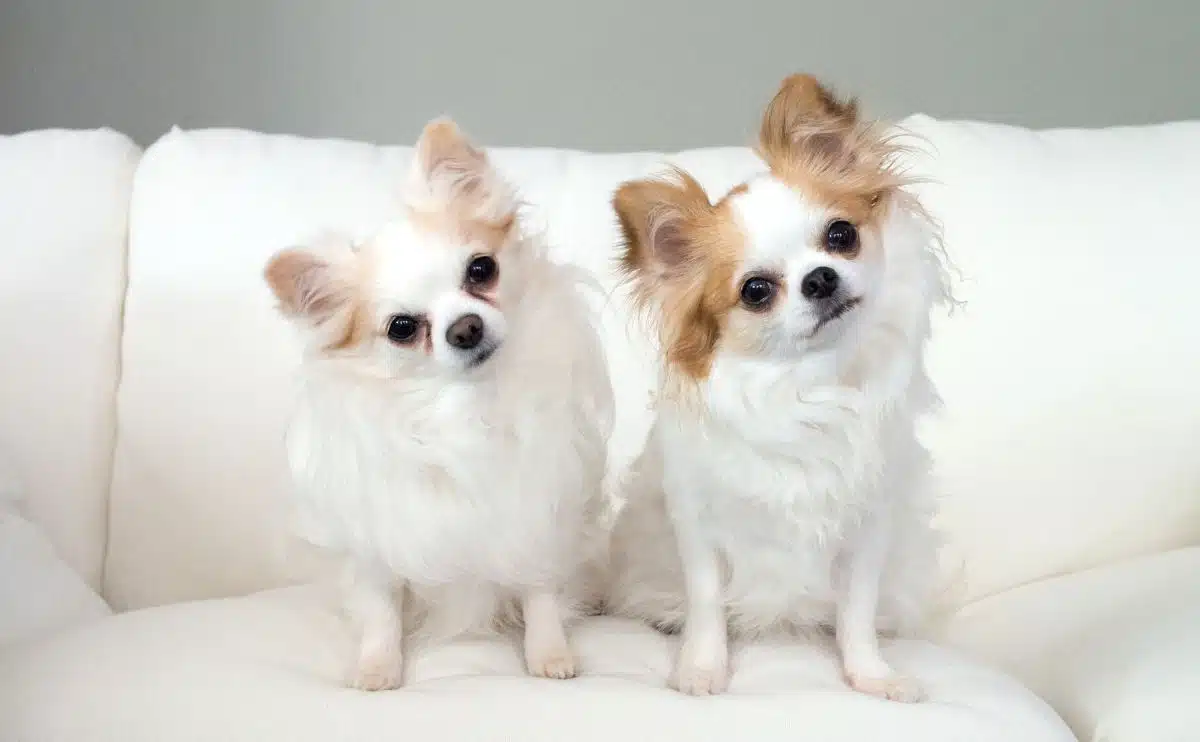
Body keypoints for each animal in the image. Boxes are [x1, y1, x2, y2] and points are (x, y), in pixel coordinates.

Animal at [266, 117, 614, 686]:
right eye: (402, 328)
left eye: (481, 269)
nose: (466, 327)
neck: (468, 406)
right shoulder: (379, 538)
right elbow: (381, 606)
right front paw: (378, 665)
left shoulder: (539, 514)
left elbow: (540, 590)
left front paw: (548, 653)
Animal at [604, 75, 950, 701]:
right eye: (757, 291)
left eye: (841, 235)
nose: (820, 278)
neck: (807, 383)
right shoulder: (698, 525)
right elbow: (707, 603)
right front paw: (701, 668)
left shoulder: (869, 526)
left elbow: (857, 612)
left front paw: (871, 674)